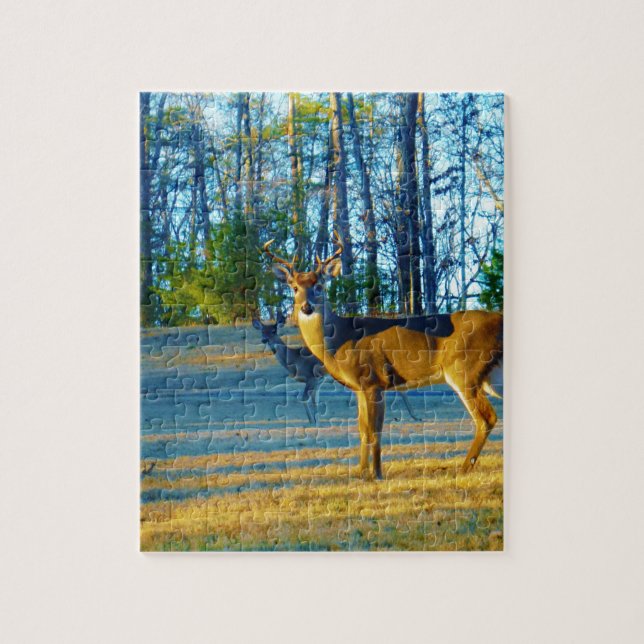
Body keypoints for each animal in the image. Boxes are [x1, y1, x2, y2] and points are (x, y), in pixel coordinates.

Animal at [252, 310, 421, 425]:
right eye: (262, 331)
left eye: (273, 330)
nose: (264, 339)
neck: (294, 361)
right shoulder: (318, 379)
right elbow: (315, 399)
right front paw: (316, 419)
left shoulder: (311, 376)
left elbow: (304, 398)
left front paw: (312, 422)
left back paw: (414, 416)